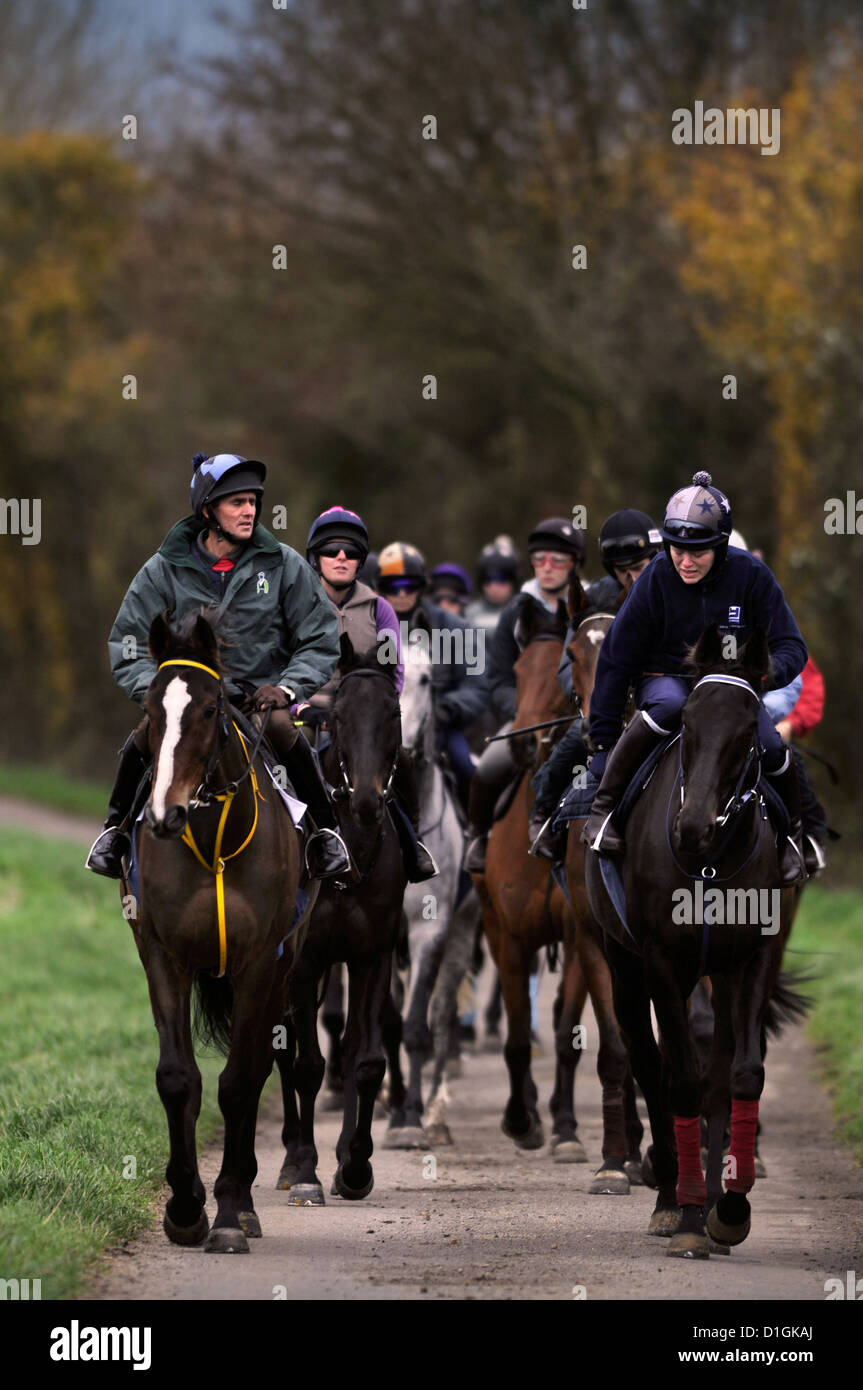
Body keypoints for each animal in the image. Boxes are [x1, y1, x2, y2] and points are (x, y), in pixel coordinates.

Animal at [126, 614, 304, 1256]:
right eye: (150, 709)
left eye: (209, 708)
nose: (164, 815)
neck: (213, 838)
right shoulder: (162, 954)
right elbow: (178, 1078)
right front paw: (184, 1208)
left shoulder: (260, 964)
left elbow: (239, 1083)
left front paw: (227, 1212)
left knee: (259, 1067)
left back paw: (246, 1204)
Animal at [586, 625, 800, 1256]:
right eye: (690, 723)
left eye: (748, 731)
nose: (693, 826)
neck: (711, 862)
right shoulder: (661, 962)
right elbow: (677, 1079)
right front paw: (683, 1216)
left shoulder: (753, 958)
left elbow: (738, 1075)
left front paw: (727, 1209)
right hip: (625, 967)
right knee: (650, 1063)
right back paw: (669, 1197)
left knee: (713, 1067)